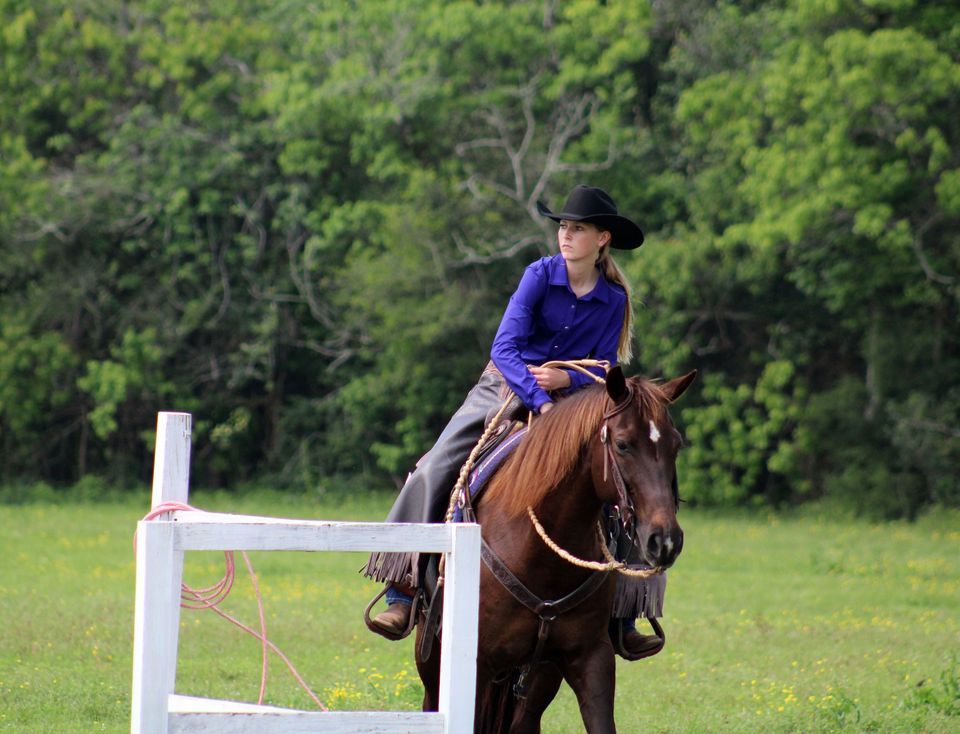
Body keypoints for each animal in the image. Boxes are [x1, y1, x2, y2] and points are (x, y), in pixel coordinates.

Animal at [414, 366, 696, 733]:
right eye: (622, 444)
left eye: (675, 444)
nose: (664, 540)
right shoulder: (477, 664)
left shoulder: (590, 657)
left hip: (538, 680)